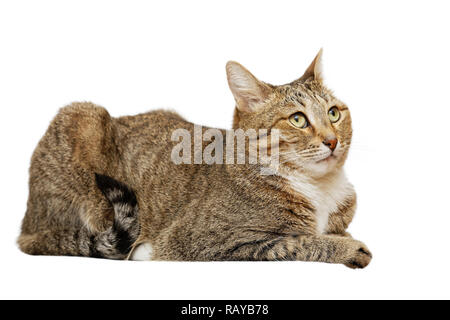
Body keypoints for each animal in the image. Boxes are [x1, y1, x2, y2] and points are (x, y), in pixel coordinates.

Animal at [18, 50, 372, 268]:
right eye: (298, 119)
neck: (320, 187)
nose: (332, 140)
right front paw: (348, 248)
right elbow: (299, 242)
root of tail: (27, 221)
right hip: (81, 116)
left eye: (334, 113)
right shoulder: (214, 241)